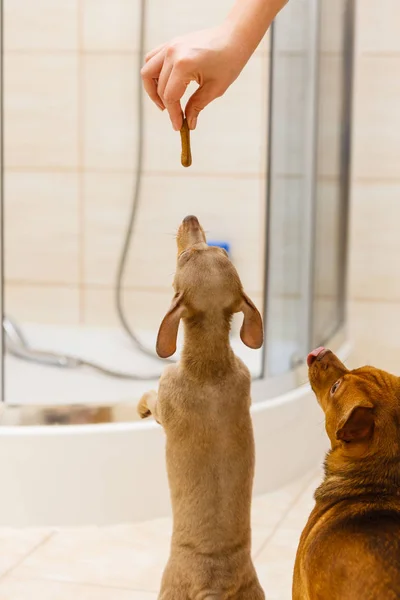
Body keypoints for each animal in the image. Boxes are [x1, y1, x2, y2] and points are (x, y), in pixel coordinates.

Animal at [138, 216, 266, 600]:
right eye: (217, 251)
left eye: (188, 255)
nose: (190, 219)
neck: (210, 367)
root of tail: (215, 582)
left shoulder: (165, 395)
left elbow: (150, 398)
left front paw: (140, 406)